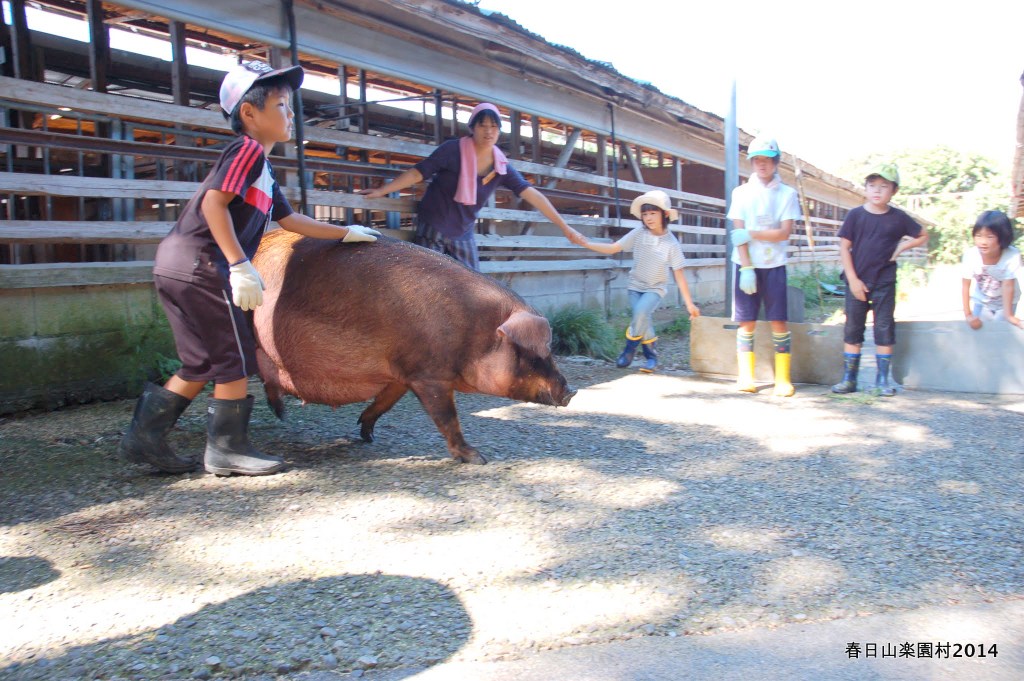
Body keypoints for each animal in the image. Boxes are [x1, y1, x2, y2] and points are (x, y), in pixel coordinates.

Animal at [250, 231, 577, 464]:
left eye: (549, 351)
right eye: (533, 355)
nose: (571, 391)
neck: (473, 331)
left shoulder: (401, 375)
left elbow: (383, 405)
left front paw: (368, 436)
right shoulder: (429, 375)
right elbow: (447, 418)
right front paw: (478, 458)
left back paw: (281, 414)